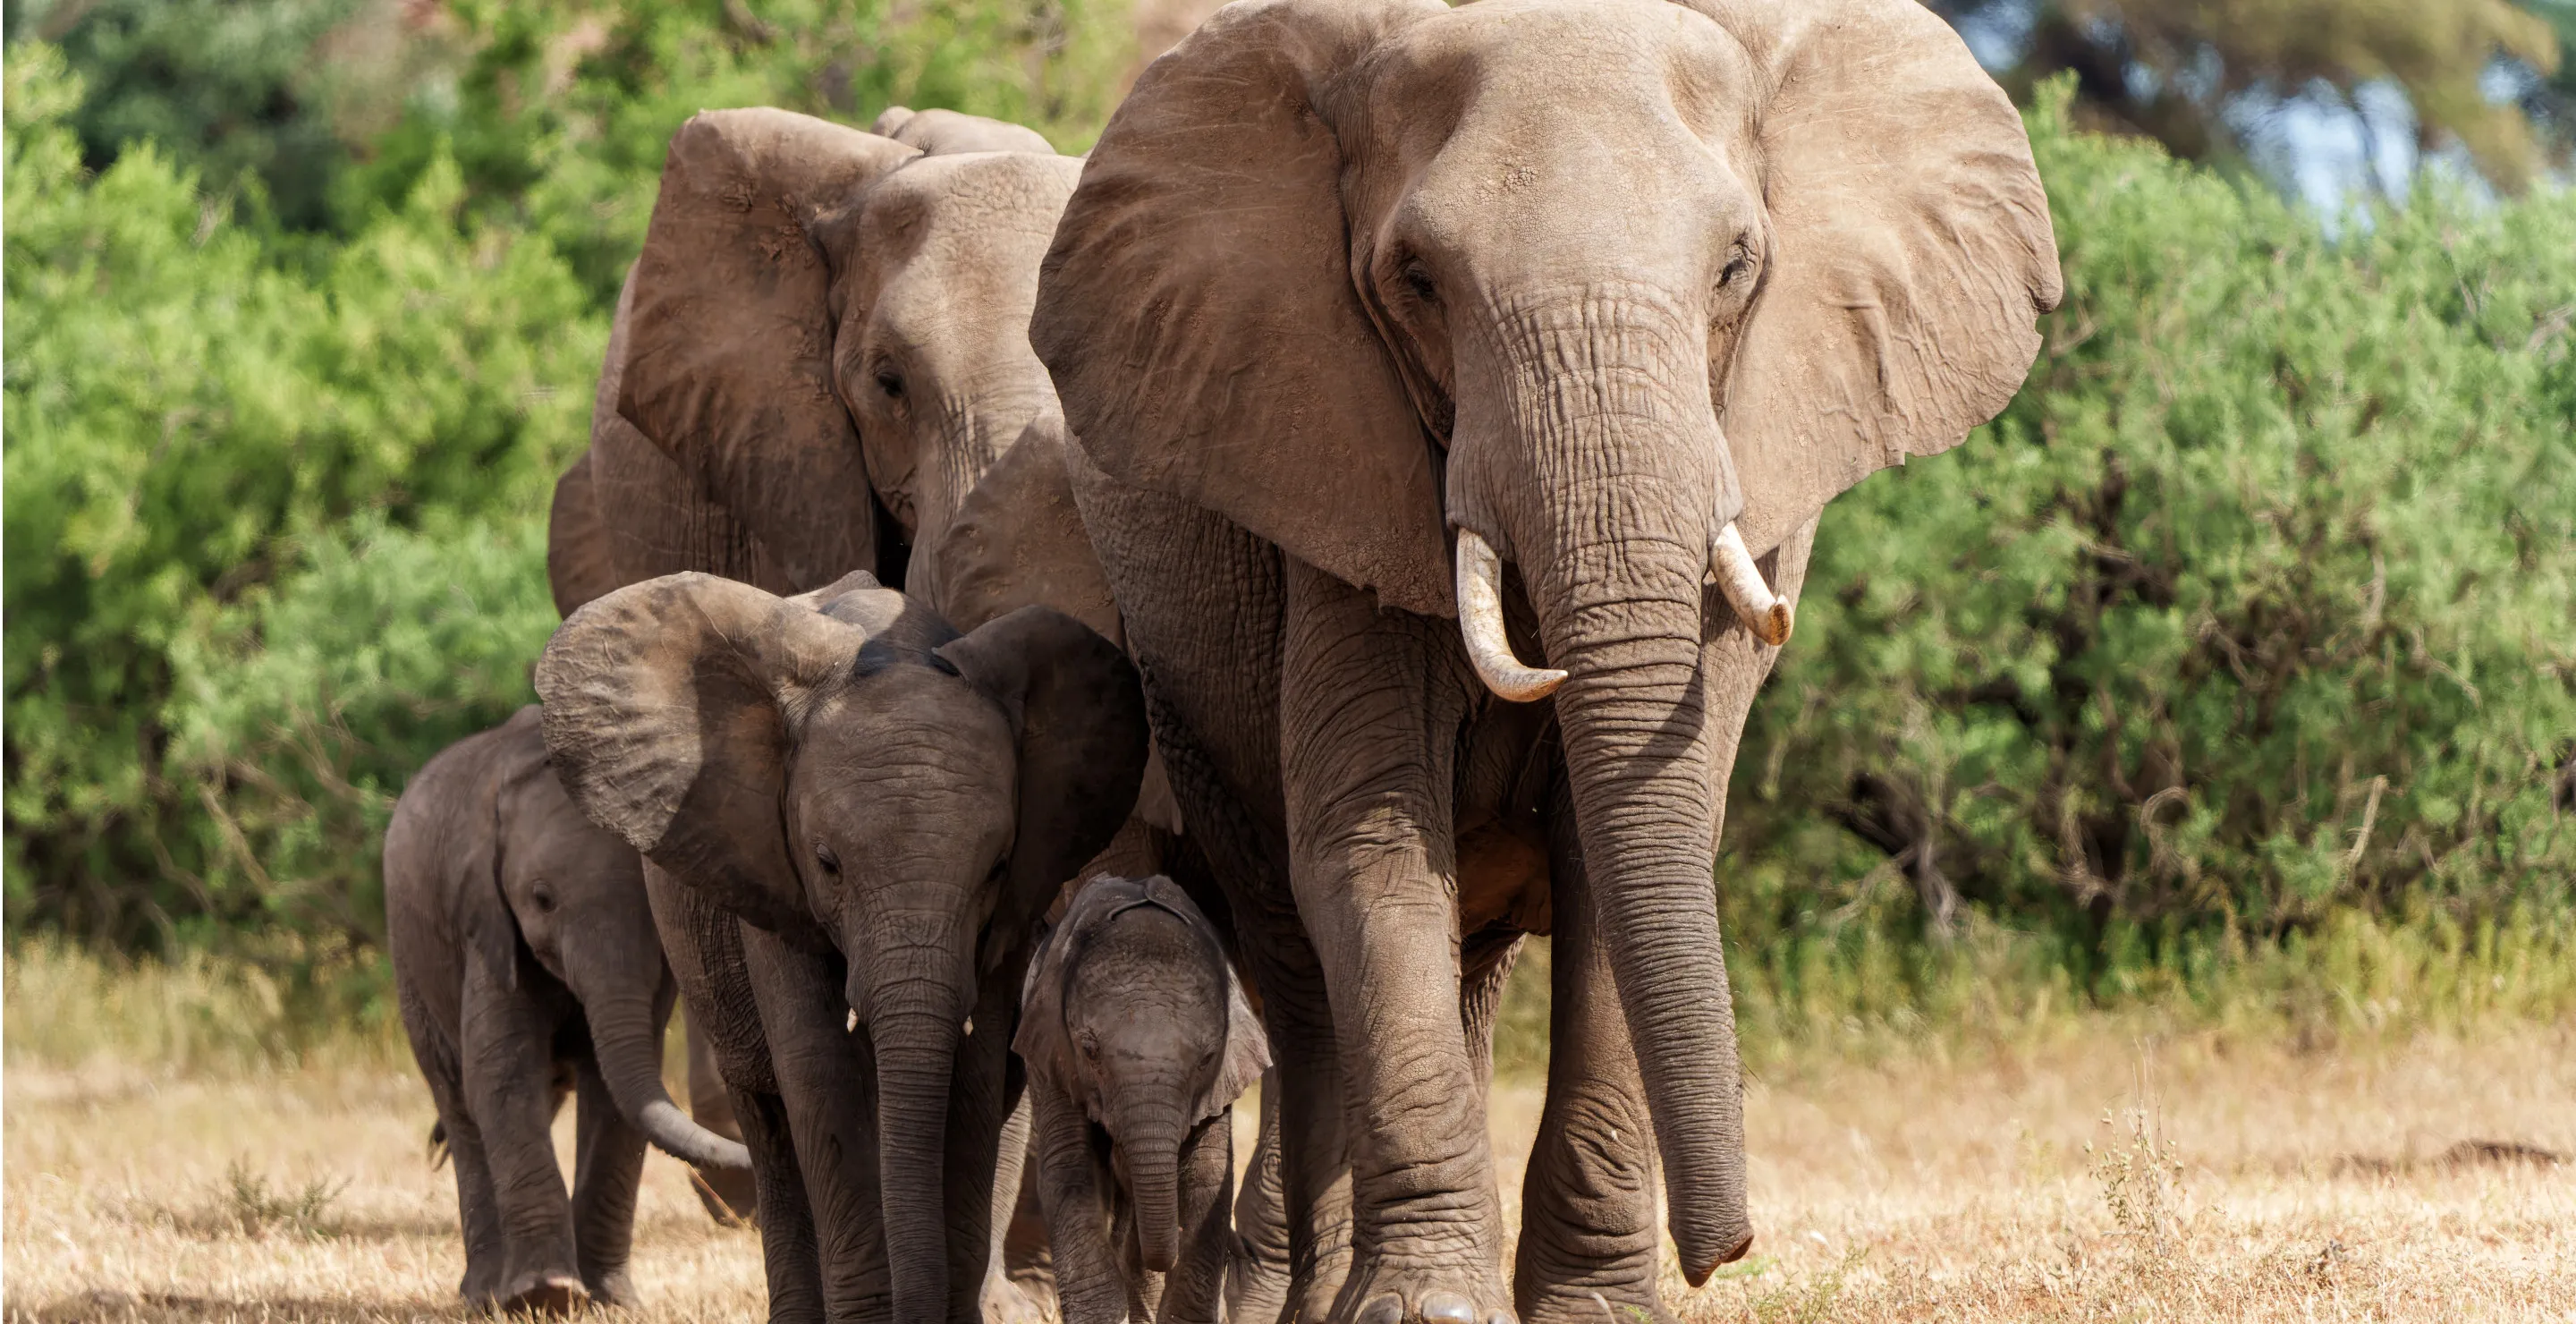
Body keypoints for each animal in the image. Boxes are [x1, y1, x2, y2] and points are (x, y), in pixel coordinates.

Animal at [381, 705, 751, 1303]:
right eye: (541, 899)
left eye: (653, 907)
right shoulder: (486, 923)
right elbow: (502, 1074)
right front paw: (546, 1294)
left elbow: (615, 1094)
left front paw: (608, 1299)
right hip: (410, 958)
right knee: (457, 1099)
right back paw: (482, 1294)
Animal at [536, 572, 1148, 1319]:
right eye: (828, 864)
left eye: (997, 867)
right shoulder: (775, 878)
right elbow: (821, 1073)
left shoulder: (1010, 913)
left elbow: (972, 1080)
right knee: (768, 1119)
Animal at [1020, 865, 1272, 1319]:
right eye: (1090, 1051)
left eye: (1207, 1058)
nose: (1244, 1250)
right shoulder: (1050, 1051)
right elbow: (1070, 1169)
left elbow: (1208, 1175)